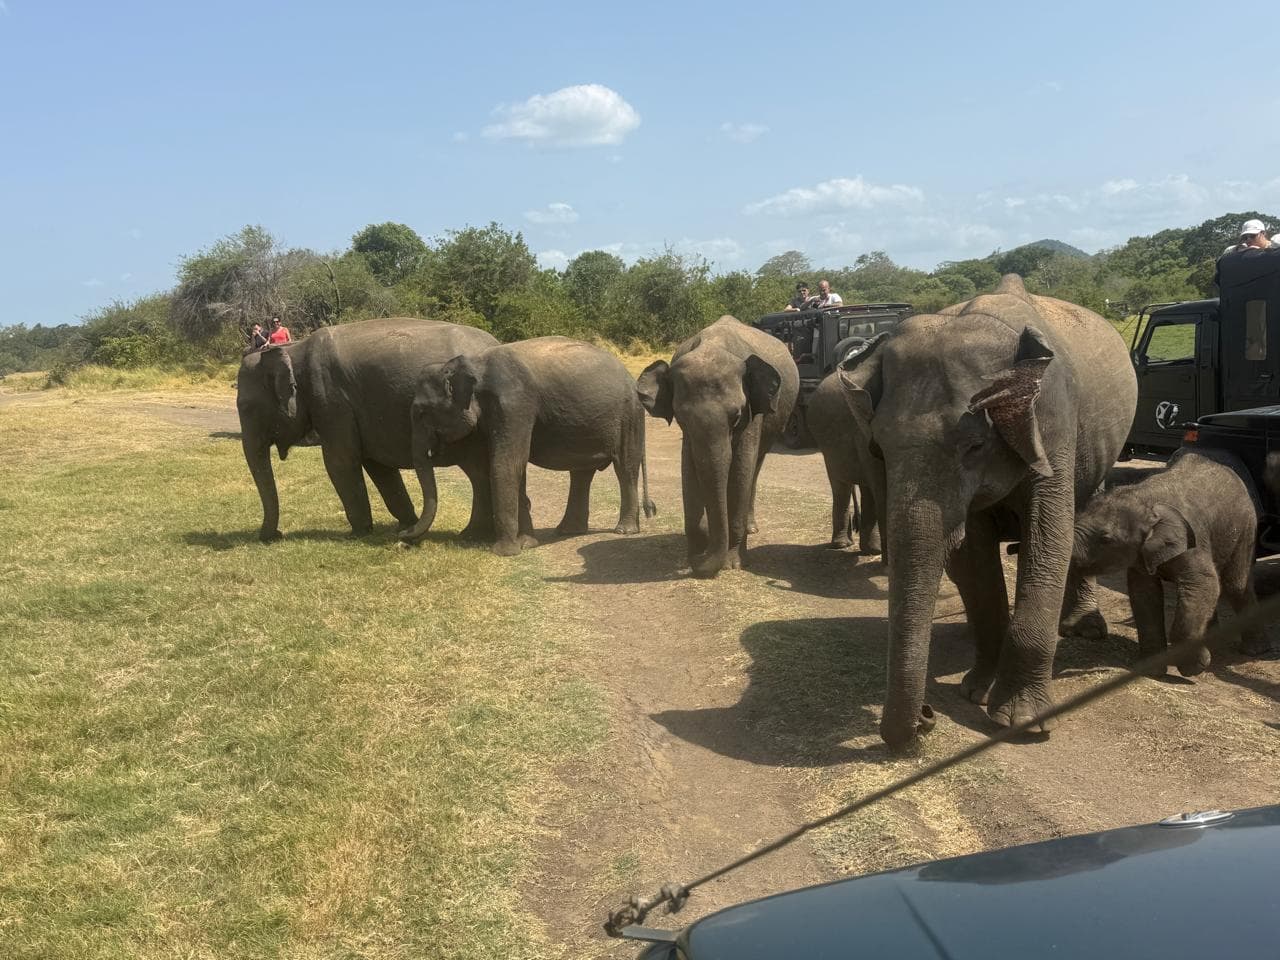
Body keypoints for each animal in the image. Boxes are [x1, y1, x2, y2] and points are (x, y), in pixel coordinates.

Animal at [236, 317, 497, 543]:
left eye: (246, 408)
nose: (274, 535)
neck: (294, 349)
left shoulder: (331, 402)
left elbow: (339, 462)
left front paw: (357, 534)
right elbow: (378, 467)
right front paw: (406, 525)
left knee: (478, 471)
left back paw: (474, 535)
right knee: (479, 473)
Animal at [406, 336, 656, 556]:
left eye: (421, 412)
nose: (404, 535)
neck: (473, 363)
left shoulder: (514, 404)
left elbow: (507, 464)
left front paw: (505, 552)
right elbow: (516, 465)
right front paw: (527, 544)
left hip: (629, 416)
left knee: (625, 467)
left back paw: (623, 530)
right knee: (581, 473)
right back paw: (568, 530)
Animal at [637, 315, 799, 578]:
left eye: (736, 417)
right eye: (681, 419)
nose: (696, 560)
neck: (711, 347)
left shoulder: (752, 412)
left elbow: (741, 470)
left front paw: (732, 564)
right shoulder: (689, 435)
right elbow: (689, 470)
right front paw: (702, 539)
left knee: (756, 466)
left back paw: (751, 528)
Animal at [839, 275, 1137, 748]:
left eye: (975, 445)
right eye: (878, 449)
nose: (926, 717)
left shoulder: (1053, 420)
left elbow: (1048, 539)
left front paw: (1022, 722)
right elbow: (973, 555)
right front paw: (974, 691)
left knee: (1083, 513)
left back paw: (1084, 628)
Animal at [1072, 449, 1267, 675]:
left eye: (1106, 539)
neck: (1144, 498)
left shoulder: (1193, 539)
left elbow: (1203, 583)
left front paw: (1195, 666)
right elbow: (1144, 593)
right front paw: (1151, 670)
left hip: (1245, 528)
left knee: (1235, 585)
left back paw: (1254, 651)